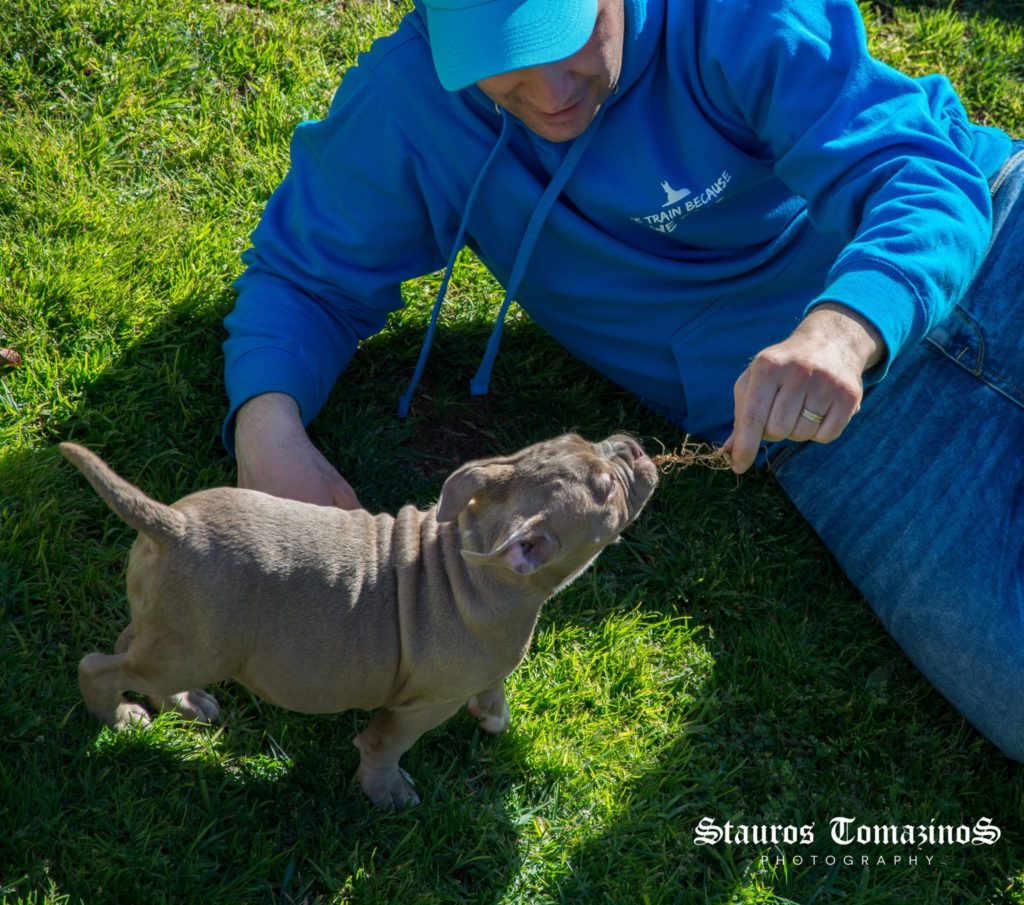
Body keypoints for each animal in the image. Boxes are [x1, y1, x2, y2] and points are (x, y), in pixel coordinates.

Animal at [59, 432, 659, 806]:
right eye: (607, 489)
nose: (633, 445)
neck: (475, 563)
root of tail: (173, 523)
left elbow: (494, 687)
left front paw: (493, 716)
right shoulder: (422, 705)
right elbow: (385, 744)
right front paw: (385, 791)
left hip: (171, 629)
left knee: (132, 646)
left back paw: (184, 703)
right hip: (192, 646)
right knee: (100, 667)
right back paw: (119, 718)